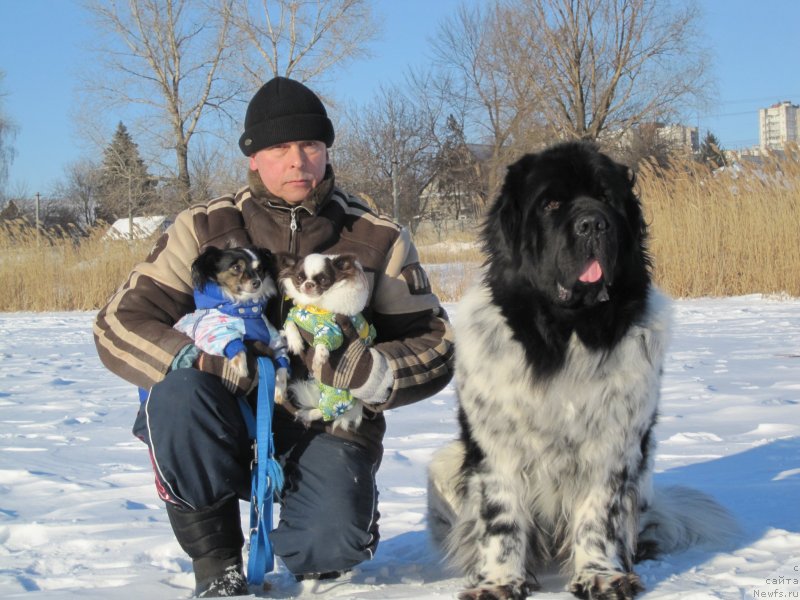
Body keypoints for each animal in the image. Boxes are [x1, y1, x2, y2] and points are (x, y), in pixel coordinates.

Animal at [428, 142, 736, 600]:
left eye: (607, 198)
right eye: (550, 203)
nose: (594, 223)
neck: (567, 334)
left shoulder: (614, 442)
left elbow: (600, 515)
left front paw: (601, 575)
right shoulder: (497, 446)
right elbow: (502, 518)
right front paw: (499, 581)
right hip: (444, 463)